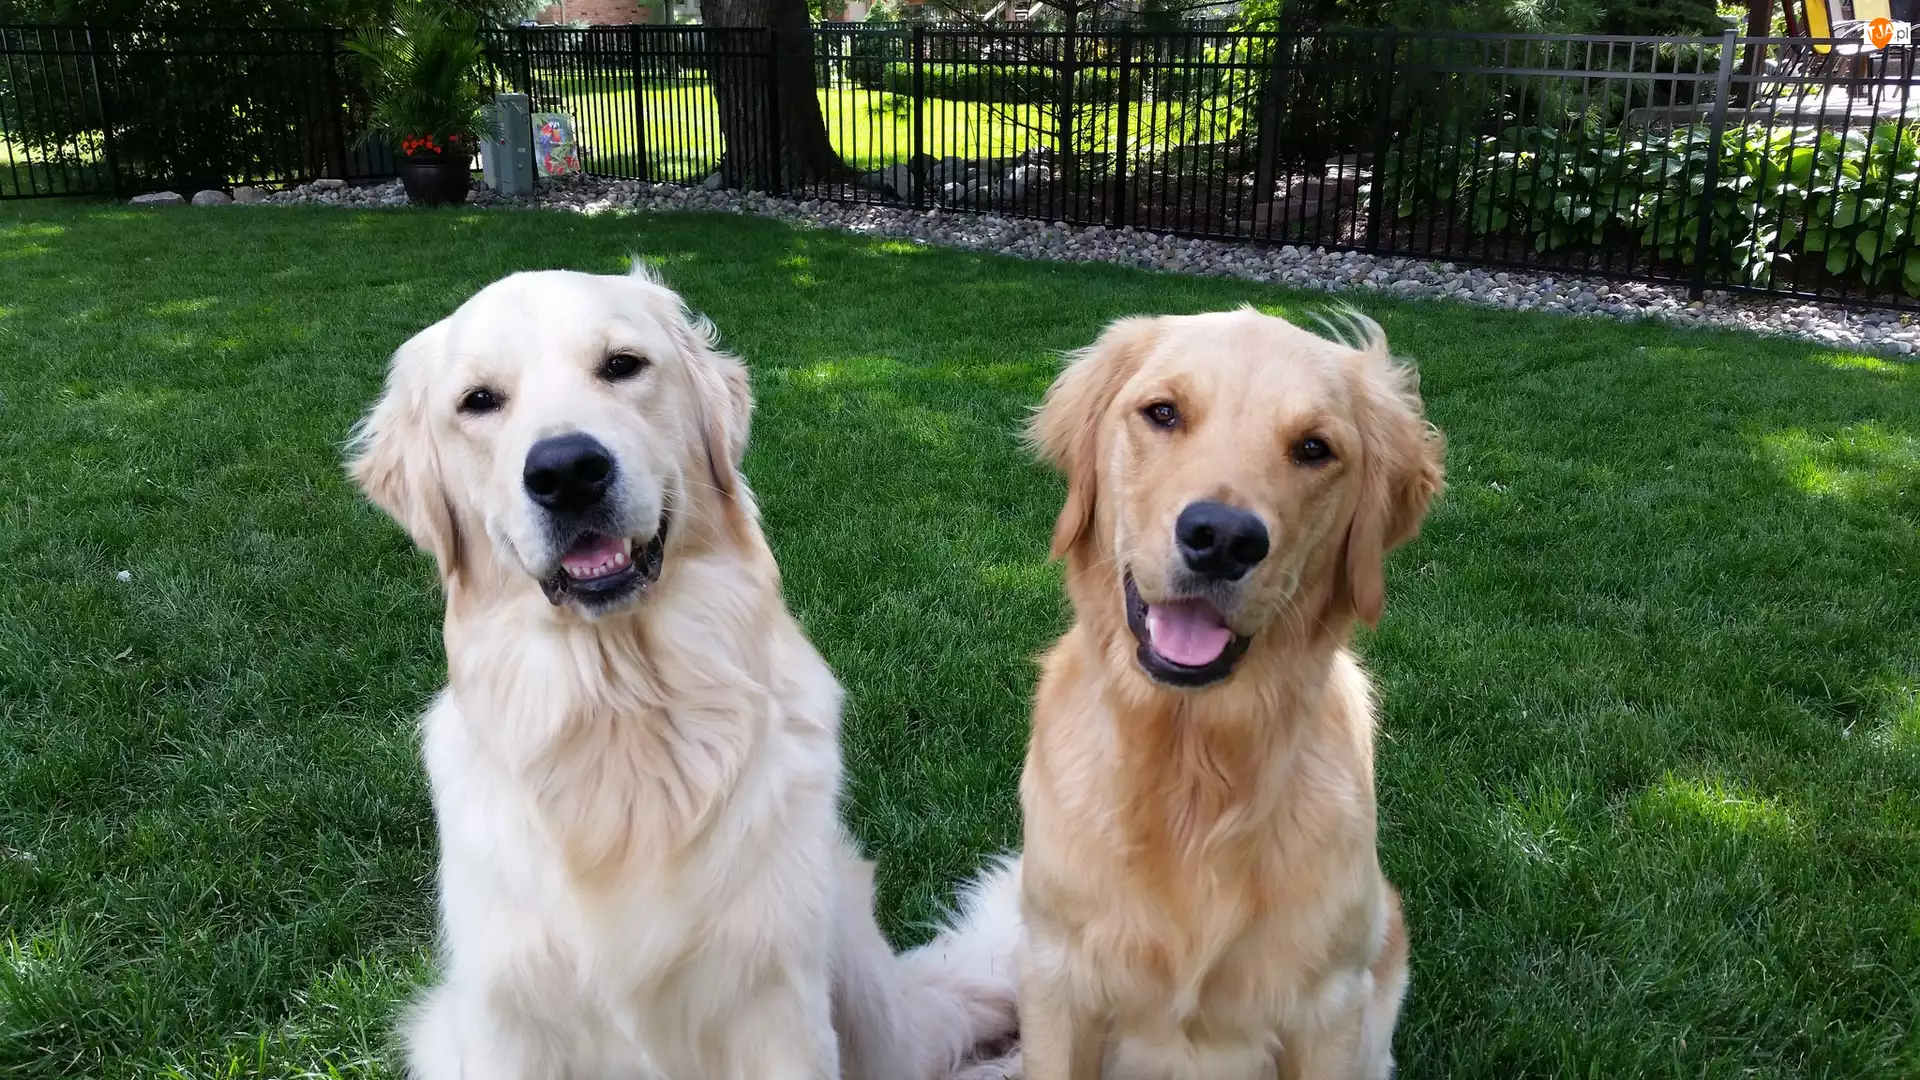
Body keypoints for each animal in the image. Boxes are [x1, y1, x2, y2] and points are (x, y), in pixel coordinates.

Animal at [347, 264, 1022, 1080]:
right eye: (478, 401)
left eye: (622, 365)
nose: (567, 471)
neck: (626, 704)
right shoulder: (509, 1017)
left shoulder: (775, 1004)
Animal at [1013, 308, 1444, 1080]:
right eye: (1163, 413)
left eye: (1313, 448)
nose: (1221, 539)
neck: (1195, 763)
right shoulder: (1057, 978)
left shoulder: (1328, 1009)